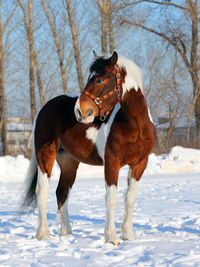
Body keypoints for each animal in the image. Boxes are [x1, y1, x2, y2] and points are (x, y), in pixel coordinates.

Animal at [23, 51, 156, 246]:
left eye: (99, 80)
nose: (79, 111)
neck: (135, 126)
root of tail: (45, 108)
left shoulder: (140, 164)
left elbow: (130, 199)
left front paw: (128, 235)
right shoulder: (112, 163)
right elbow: (111, 199)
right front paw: (112, 238)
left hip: (69, 163)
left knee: (61, 192)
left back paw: (67, 233)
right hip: (45, 155)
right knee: (42, 191)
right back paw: (43, 234)